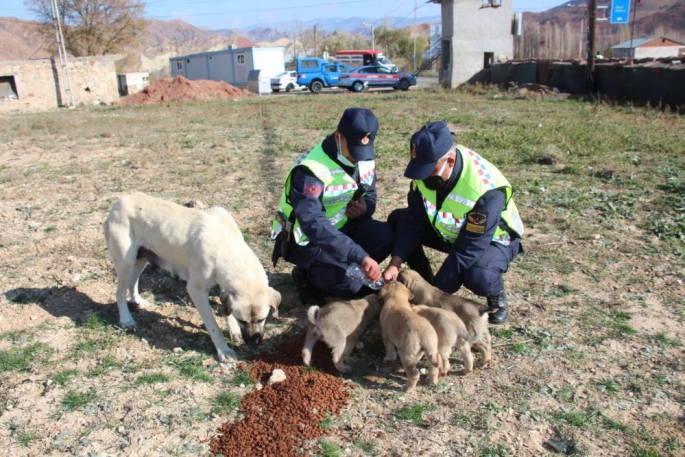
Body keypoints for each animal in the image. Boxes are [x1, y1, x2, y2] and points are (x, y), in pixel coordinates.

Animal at [103, 192, 280, 364]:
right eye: (243, 320)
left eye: (262, 319)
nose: (254, 342)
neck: (225, 244)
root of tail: (117, 203)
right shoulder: (196, 290)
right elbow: (213, 325)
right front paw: (224, 350)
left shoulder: (225, 285)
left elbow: (226, 309)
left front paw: (233, 330)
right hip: (125, 261)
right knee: (119, 292)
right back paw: (126, 319)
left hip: (141, 259)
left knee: (133, 282)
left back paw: (137, 301)